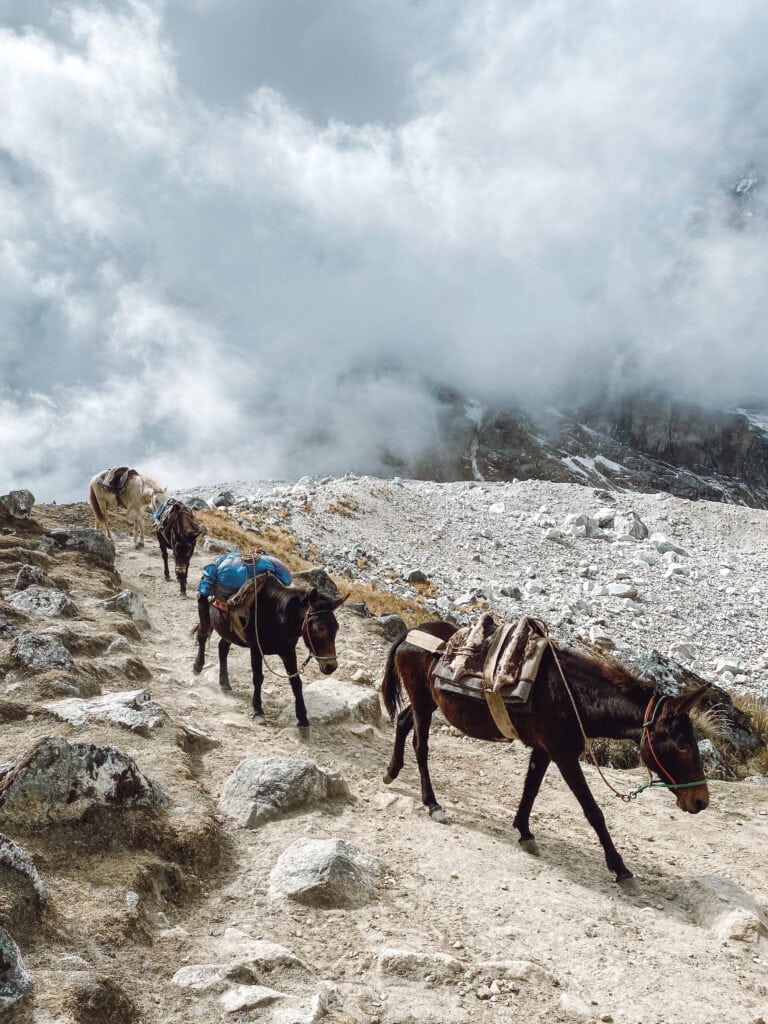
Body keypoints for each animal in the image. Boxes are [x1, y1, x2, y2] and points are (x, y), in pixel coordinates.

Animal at [192, 577, 348, 729]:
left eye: (337, 628)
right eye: (320, 628)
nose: (331, 666)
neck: (278, 616)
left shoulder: (288, 650)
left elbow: (296, 681)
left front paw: (302, 717)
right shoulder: (255, 649)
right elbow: (258, 678)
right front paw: (258, 712)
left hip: (229, 631)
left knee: (222, 648)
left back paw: (224, 682)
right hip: (205, 614)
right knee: (202, 635)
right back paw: (198, 666)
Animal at [382, 618, 712, 884]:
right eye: (683, 743)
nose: (701, 801)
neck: (574, 697)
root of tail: (412, 632)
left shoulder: (543, 751)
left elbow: (531, 789)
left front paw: (525, 833)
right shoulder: (563, 755)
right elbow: (592, 810)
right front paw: (619, 868)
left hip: (428, 702)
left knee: (403, 721)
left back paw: (391, 772)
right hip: (423, 701)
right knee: (421, 746)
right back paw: (432, 803)